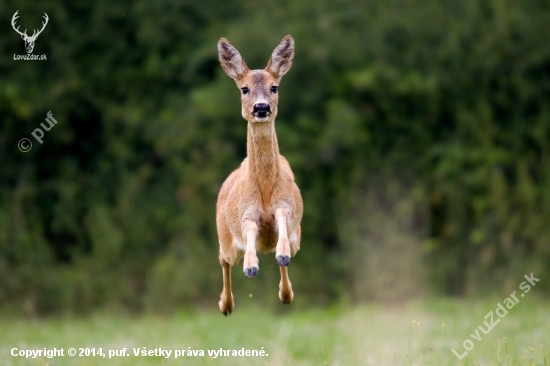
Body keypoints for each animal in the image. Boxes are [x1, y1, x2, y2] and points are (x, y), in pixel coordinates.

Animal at [216, 35, 304, 314]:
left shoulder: (287, 207)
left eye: (274, 87)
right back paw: (225, 304)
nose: (262, 107)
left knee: (283, 262)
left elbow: (283, 229)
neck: (265, 192)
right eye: (244, 89)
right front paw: (251, 266)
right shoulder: (246, 213)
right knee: (223, 259)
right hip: (225, 238)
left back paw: (285, 293)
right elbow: (251, 232)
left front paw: (281, 255)